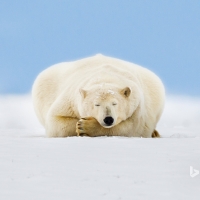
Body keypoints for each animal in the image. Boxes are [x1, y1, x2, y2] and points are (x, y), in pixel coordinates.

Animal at [32, 54, 165, 137]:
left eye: (114, 103)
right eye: (96, 104)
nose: (108, 119)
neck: (105, 76)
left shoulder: (137, 105)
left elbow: (134, 128)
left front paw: (86, 126)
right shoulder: (70, 101)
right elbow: (56, 122)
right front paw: (80, 124)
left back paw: (155, 133)